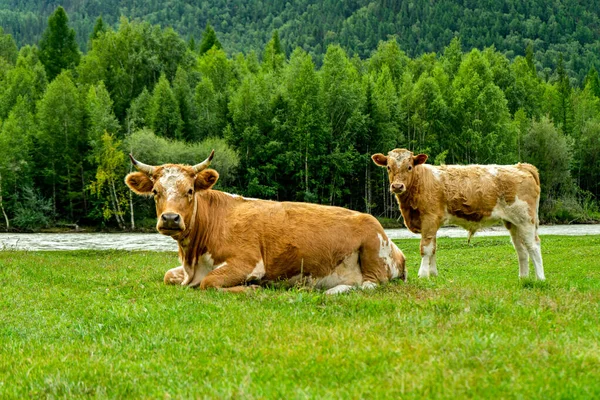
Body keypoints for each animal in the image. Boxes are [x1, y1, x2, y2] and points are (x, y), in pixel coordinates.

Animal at [126, 152, 408, 292]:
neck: (193, 259)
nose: (170, 218)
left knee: (369, 285)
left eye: (190, 191)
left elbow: (210, 283)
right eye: (155, 192)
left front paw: (252, 288)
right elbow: (167, 276)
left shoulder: (248, 262)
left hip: (373, 249)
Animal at [370, 149, 544, 282]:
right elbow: (433, 248)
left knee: (533, 246)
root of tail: (520, 166)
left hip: (525, 219)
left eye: (409, 167)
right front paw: (433, 275)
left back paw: (540, 278)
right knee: (521, 249)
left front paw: (423, 275)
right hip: (513, 222)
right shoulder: (433, 223)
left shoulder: (429, 219)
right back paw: (523, 278)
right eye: (388, 167)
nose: (397, 186)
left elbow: (425, 249)